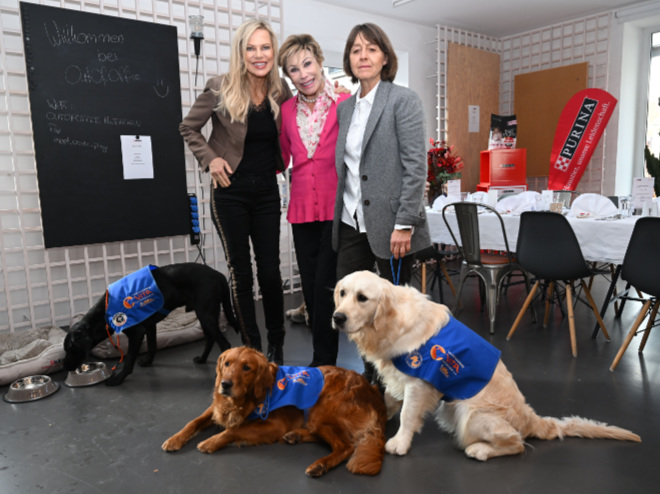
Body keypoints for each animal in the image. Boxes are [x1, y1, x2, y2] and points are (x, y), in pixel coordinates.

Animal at [63, 262, 240, 386]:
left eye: (70, 348)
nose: (64, 367)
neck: (105, 312)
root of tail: (218, 274)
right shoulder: (149, 326)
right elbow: (152, 345)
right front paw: (148, 362)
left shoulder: (137, 333)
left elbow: (128, 360)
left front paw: (118, 379)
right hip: (204, 316)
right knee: (210, 339)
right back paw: (202, 359)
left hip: (206, 315)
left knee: (224, 343)